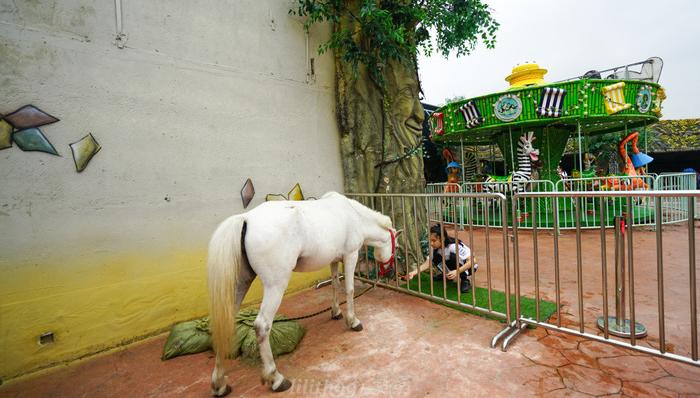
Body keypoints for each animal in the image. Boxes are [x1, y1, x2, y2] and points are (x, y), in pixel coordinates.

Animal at [205, 190, 396, 394]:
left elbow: (335, 285)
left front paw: (336, 312)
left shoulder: (334, 260)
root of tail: (246, 218)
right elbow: (349, 290)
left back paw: (219, 383)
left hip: (241, 284)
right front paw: (353, 321)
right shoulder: (350, 255)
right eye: (396, 247)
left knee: (225, 322)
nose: (391, 273)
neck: (355, 215)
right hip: (275, 285)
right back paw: (276, 378)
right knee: (262, 326)